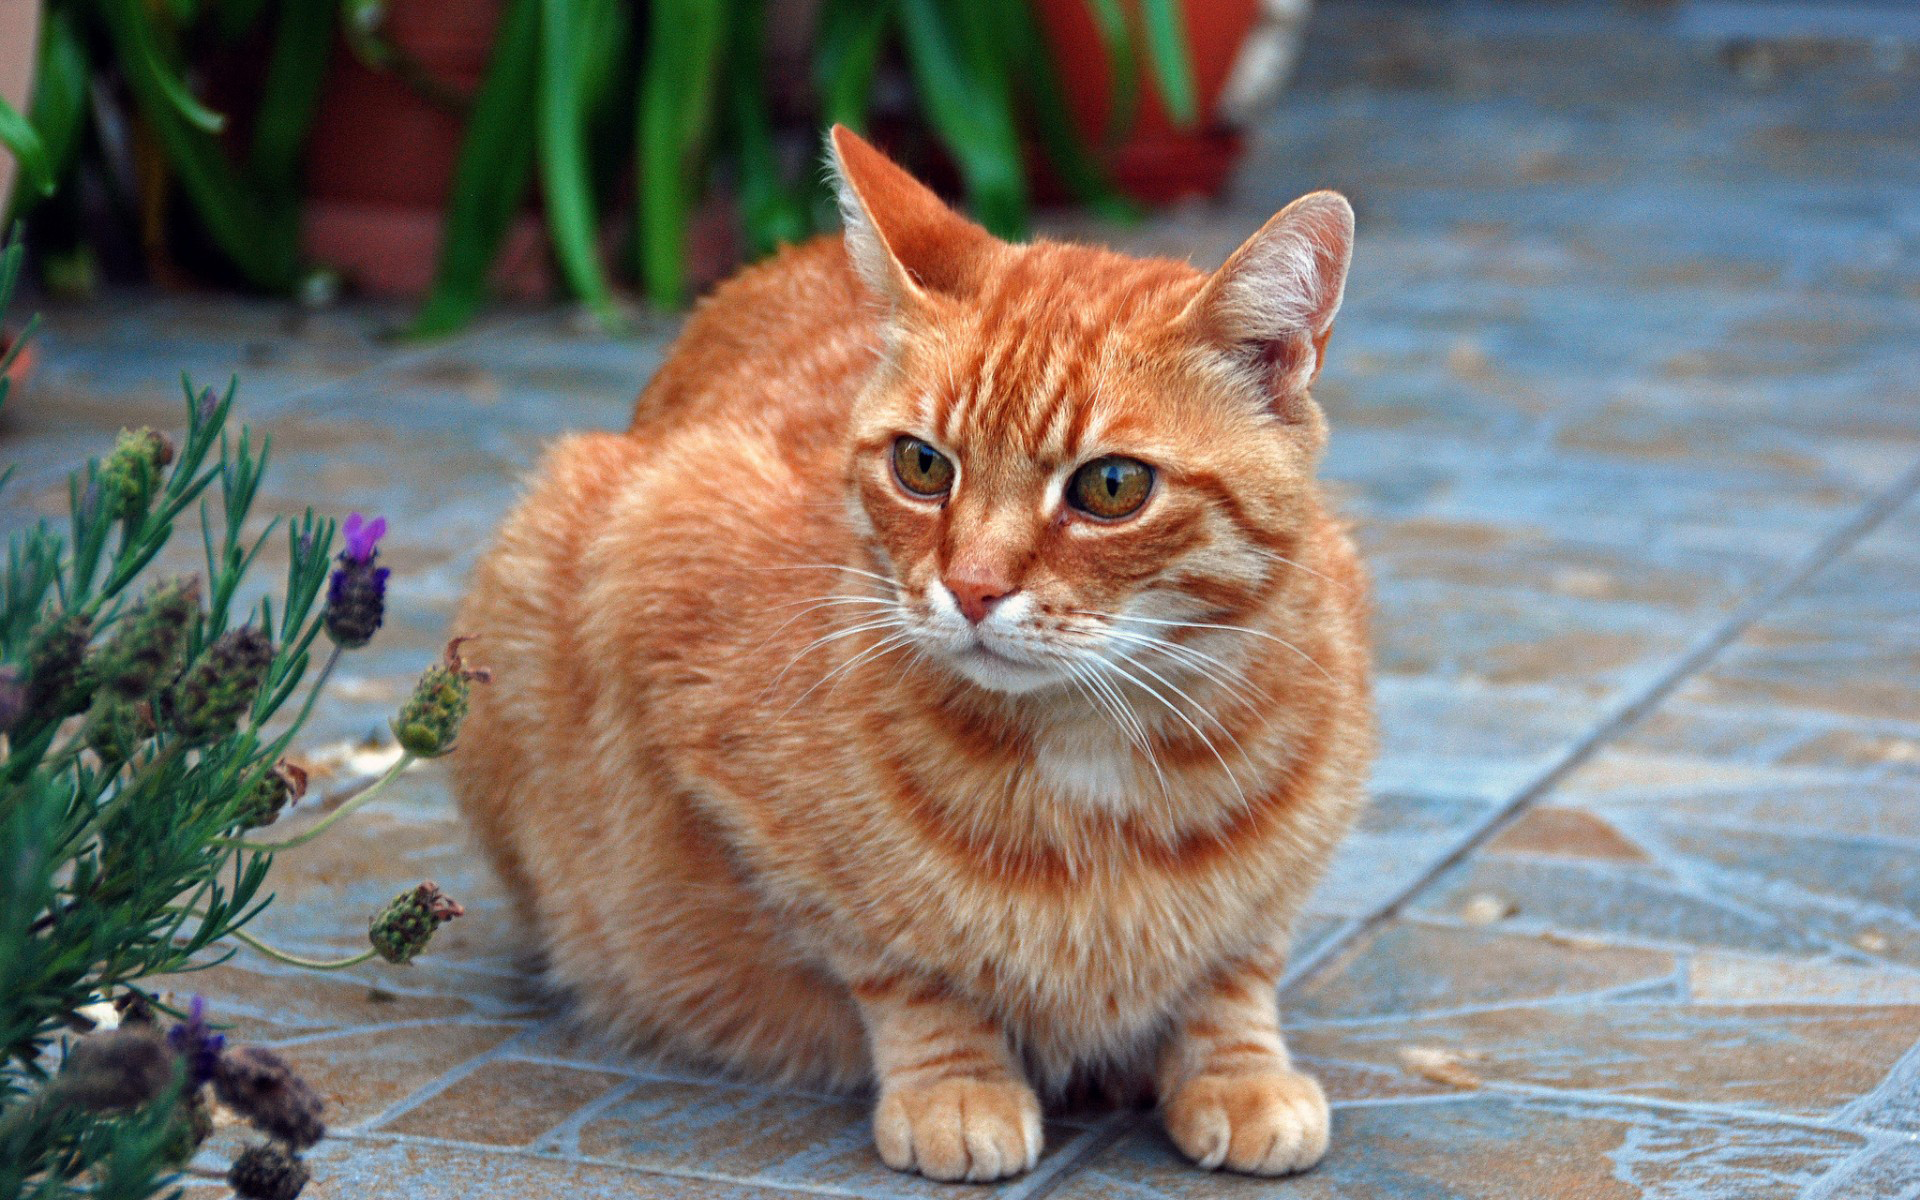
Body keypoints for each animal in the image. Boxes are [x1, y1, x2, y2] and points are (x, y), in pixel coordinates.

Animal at [453, 126, 1367, 1175]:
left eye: (1112, 487)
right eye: (923, 466)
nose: (971, 588)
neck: (1091, 745)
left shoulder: (1285, 873)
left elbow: (1237, 961)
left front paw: (1237, 1067)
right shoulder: (671, 632)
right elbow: (898, 958)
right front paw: (955, 1084)